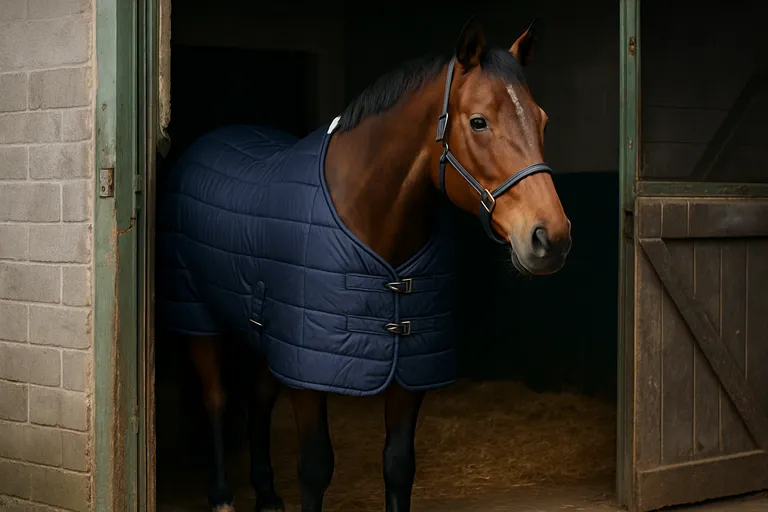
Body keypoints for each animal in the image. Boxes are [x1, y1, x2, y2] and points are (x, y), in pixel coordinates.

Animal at [155, 17, 571, 512]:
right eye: (478, 121)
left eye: (542, 120)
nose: (551, 238)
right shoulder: (308, 370)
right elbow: (315, 467)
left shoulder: (408, 368)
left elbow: (398, 465)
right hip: (200, 320)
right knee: (216, 398)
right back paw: (221, 495)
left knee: (256, 402)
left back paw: (268, 494)